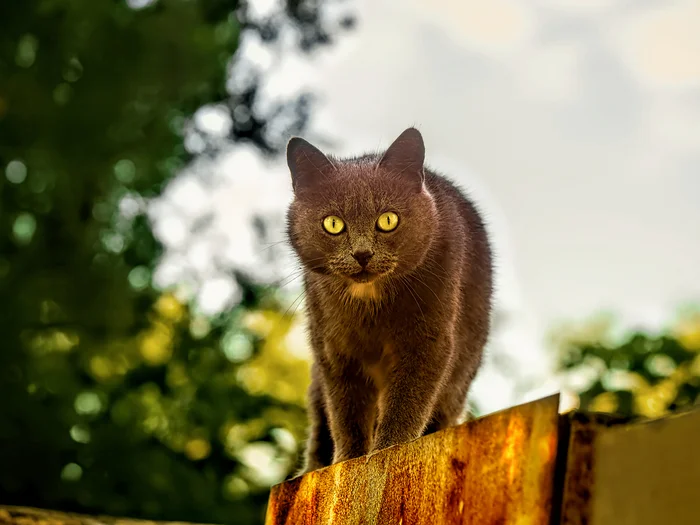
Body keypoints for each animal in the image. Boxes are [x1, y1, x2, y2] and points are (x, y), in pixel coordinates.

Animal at [284, 127, 492, 474]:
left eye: (388, 220)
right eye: (333, 223)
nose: (362, 253)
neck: (369, 302)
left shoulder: (428, 340)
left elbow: (407, 401)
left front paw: (387, 450)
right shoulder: (333, 351)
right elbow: (346, 413)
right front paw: (348, 462)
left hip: (461, 375)